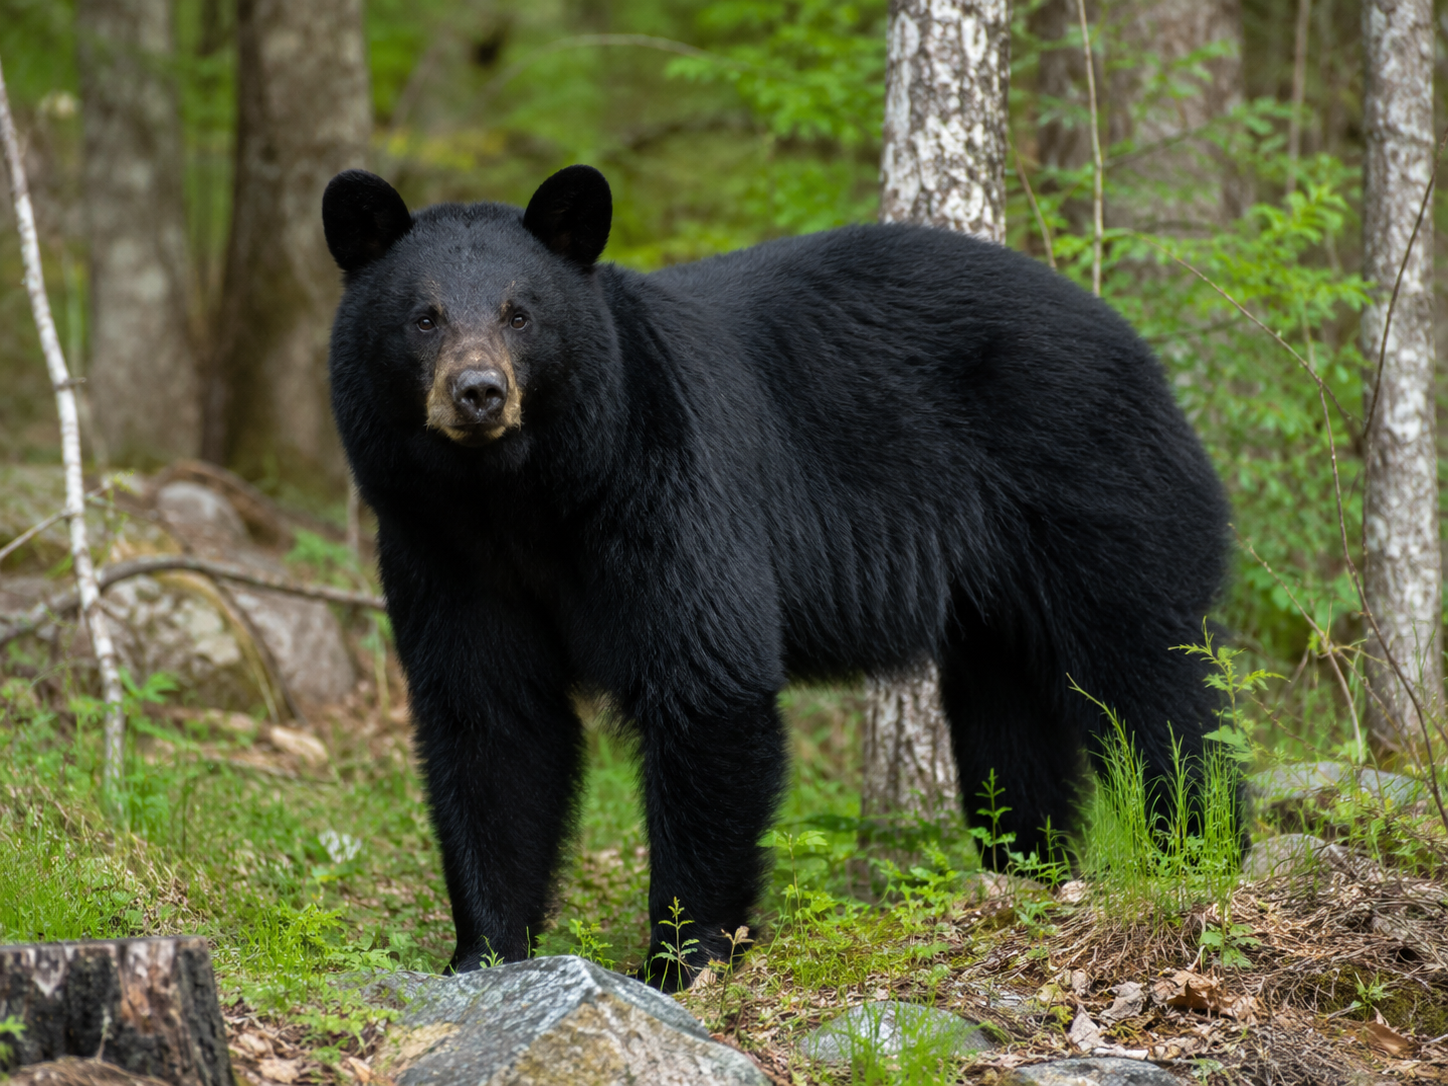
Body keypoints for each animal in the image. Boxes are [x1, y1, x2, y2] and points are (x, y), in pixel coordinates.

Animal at [321, 164, 1231, 990]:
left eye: (521, 313)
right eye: (424, 317)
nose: (478, 392)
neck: (520, 499)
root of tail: (1134, 343)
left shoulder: (664, 486)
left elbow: (707, 680)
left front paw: (681, 958)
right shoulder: (444, 552)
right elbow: (488, 720)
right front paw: (483, 952)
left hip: (1092, 479)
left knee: (1152, 674)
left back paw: (1197, 844)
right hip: (998, 592)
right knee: (1009, 719)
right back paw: (1030, 867)